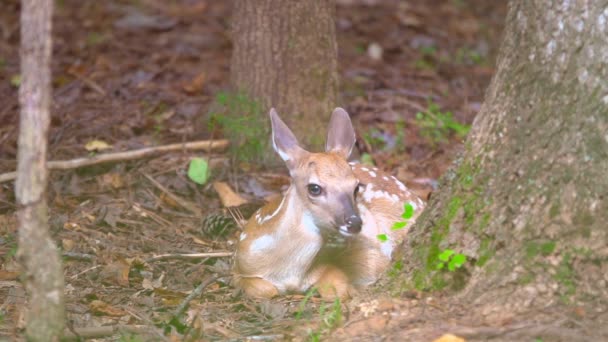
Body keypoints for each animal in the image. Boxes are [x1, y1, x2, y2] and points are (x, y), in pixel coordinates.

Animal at [232, 107, 422, 300]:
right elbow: (265, 289)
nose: (354, 222)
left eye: (356, 187)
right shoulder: (238, 267)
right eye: (314, 188)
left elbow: (337, 290)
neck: (288, 273)